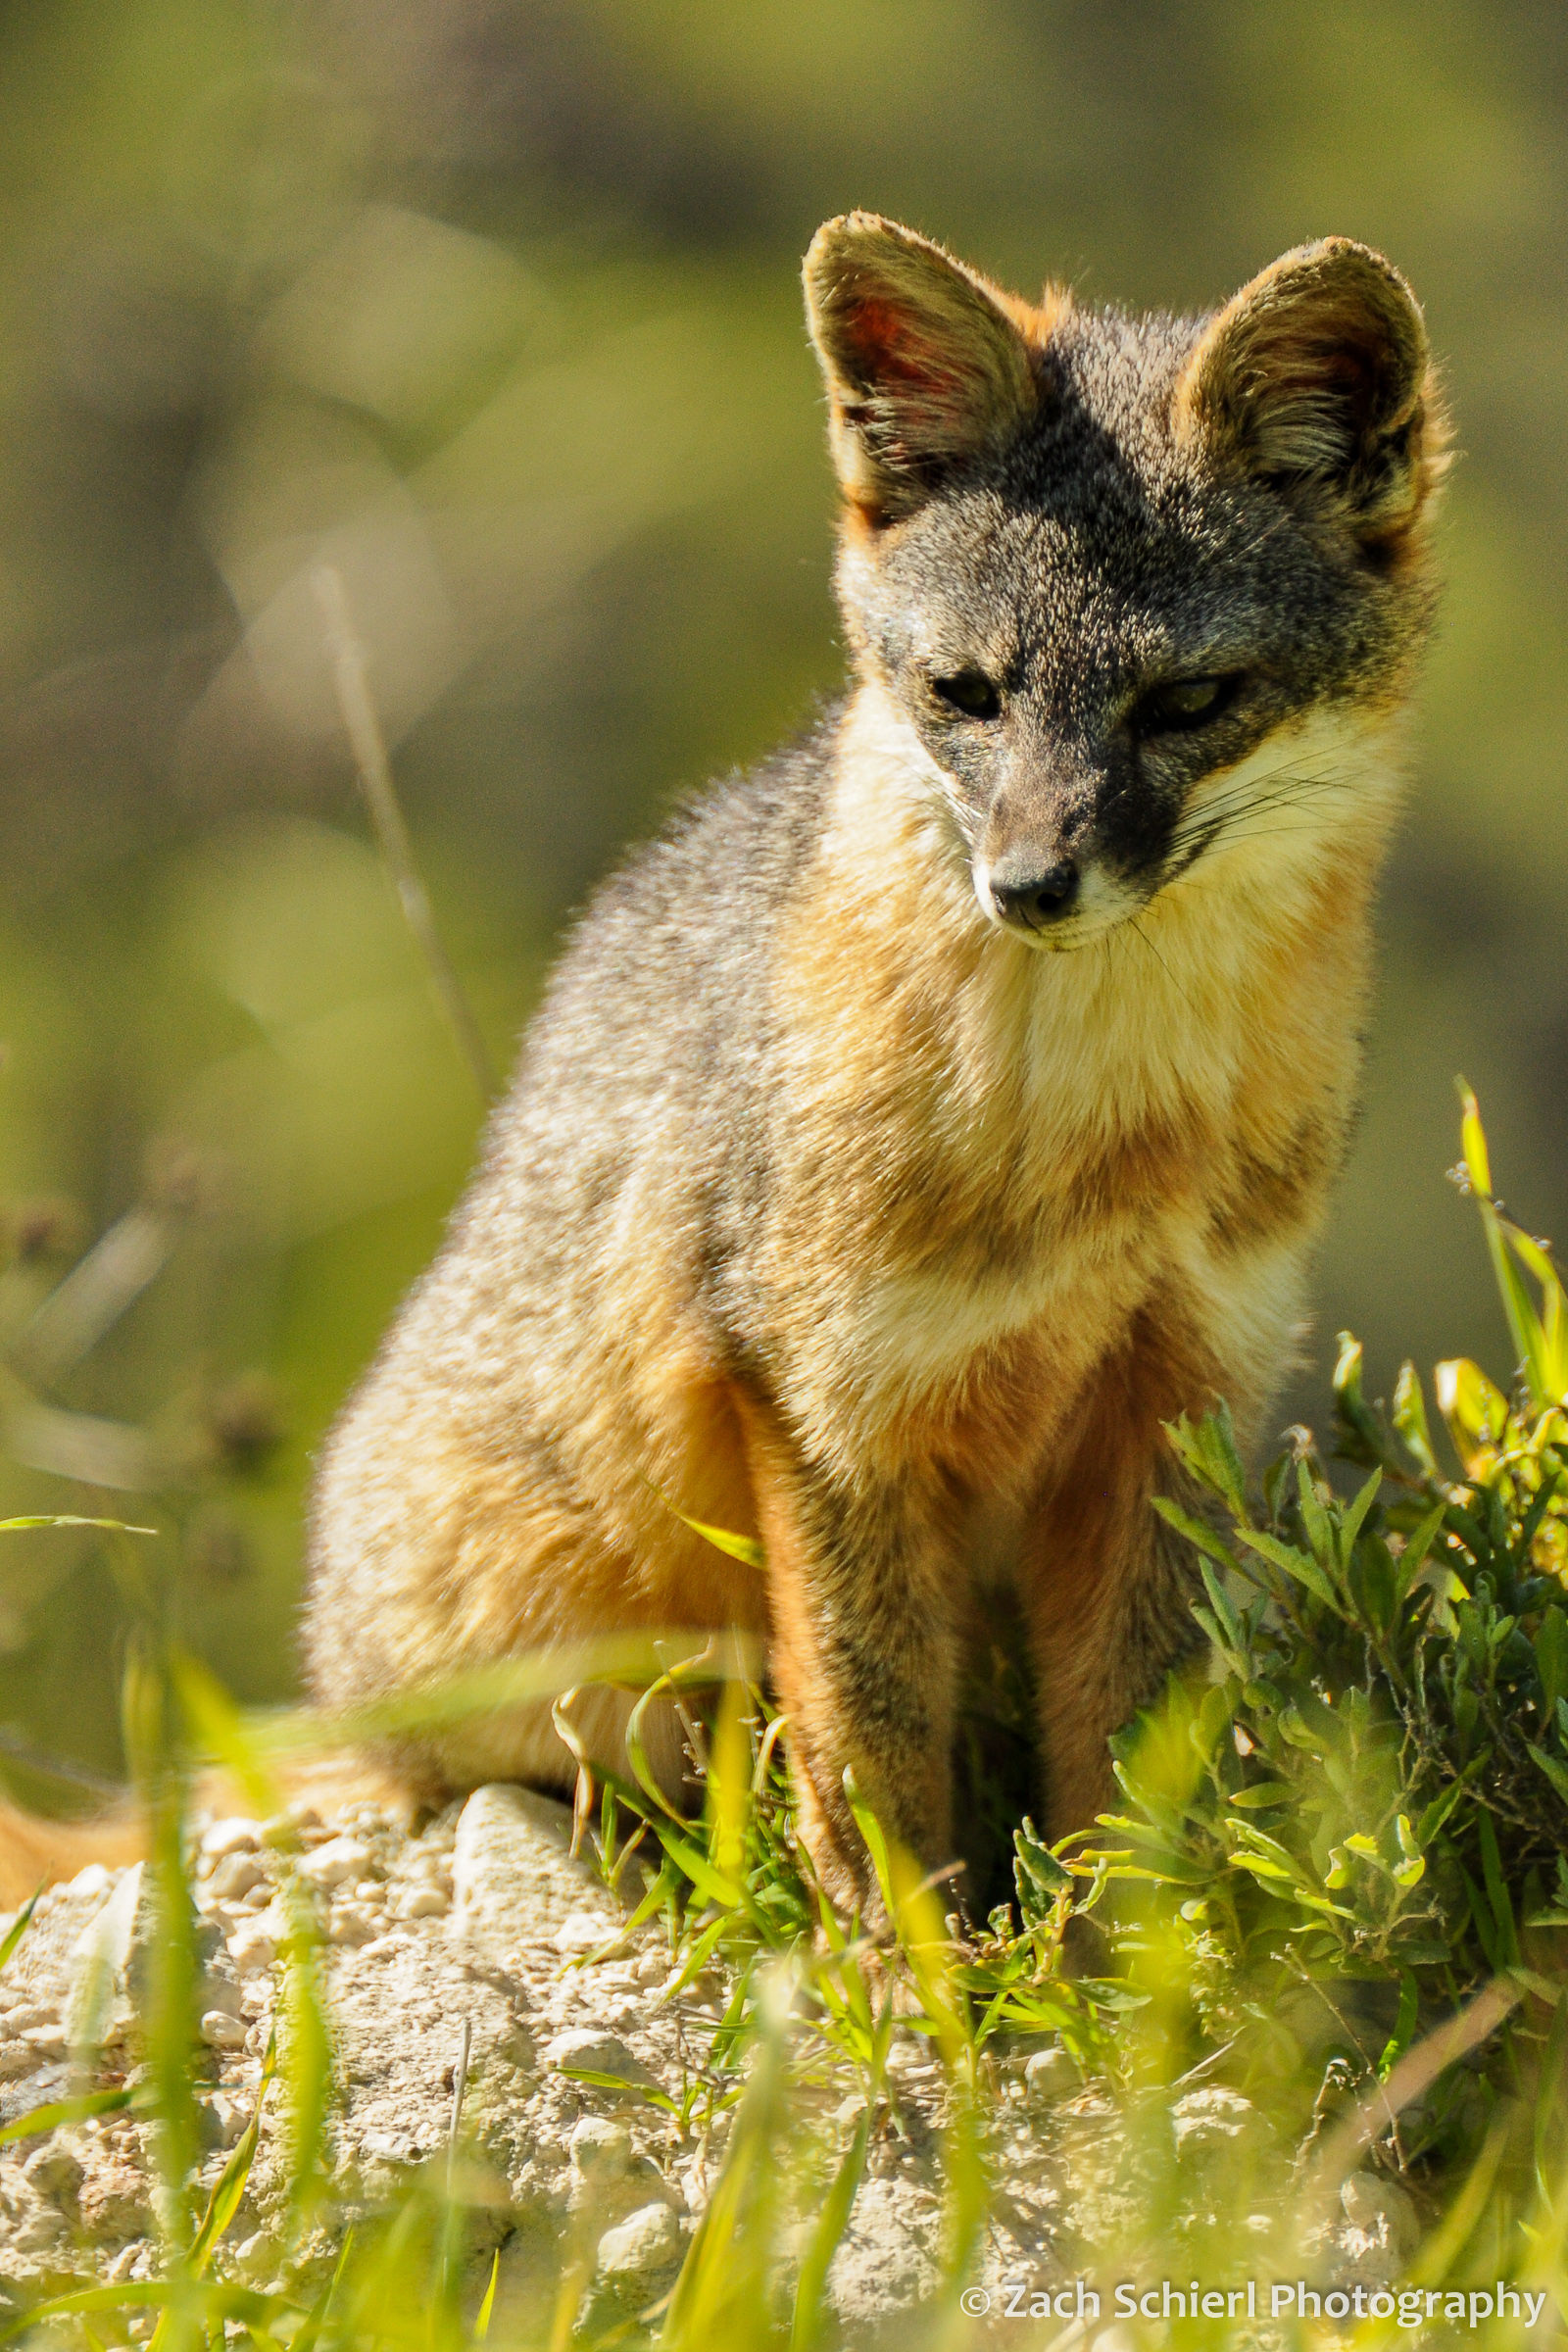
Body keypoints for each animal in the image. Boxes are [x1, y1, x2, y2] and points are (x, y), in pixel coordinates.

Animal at [0, 215, 1445, 1919]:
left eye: (1190, 703)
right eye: (966, 695)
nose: (1028, 887)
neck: (1098, 1136)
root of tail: (352, 1699)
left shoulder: (1178, 1385)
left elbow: (1127, 1770)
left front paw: (1132, 1967)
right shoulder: (817, 1394)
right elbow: (872, 1754)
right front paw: (917, 1971)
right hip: (603, 1680)